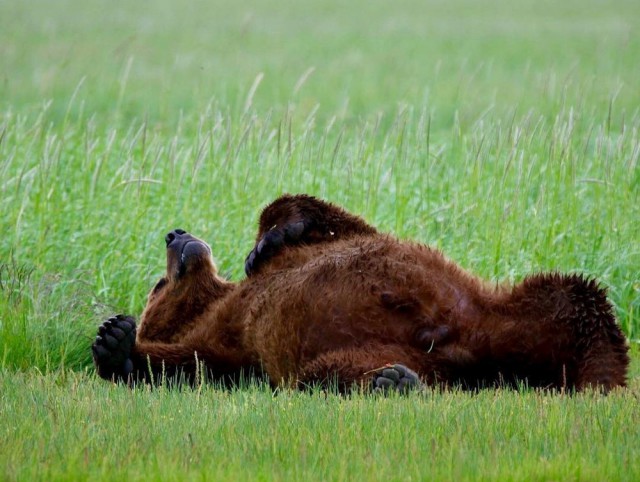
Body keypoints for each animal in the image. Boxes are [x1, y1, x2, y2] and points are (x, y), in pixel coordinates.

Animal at [91, 192, 632, 392]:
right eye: (157, 284)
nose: (175, 233)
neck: (220, 299)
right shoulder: (233, 345)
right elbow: (200, 365)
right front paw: (115, 341)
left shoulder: (324, 248)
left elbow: (339, 222)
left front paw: (271, 236)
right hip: (347, 357)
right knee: (328, 377)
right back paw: (395, 383)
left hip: (503, 308)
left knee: (573, 298)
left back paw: (599, 375)